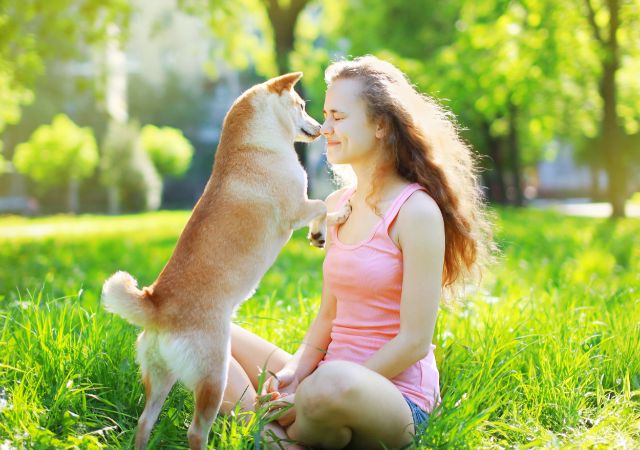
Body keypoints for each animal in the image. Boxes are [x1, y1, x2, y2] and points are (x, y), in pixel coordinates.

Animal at [101, 72, 350, 448]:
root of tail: (156, 304)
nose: (320, 127)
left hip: (160, 377)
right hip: (213, 377)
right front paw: (325, 228)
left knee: (145, 422)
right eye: (302, 106)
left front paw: (325, 229)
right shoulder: (296, 209)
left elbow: (324, 208)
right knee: (196, 429)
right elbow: (322, 205)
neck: (254, 146)